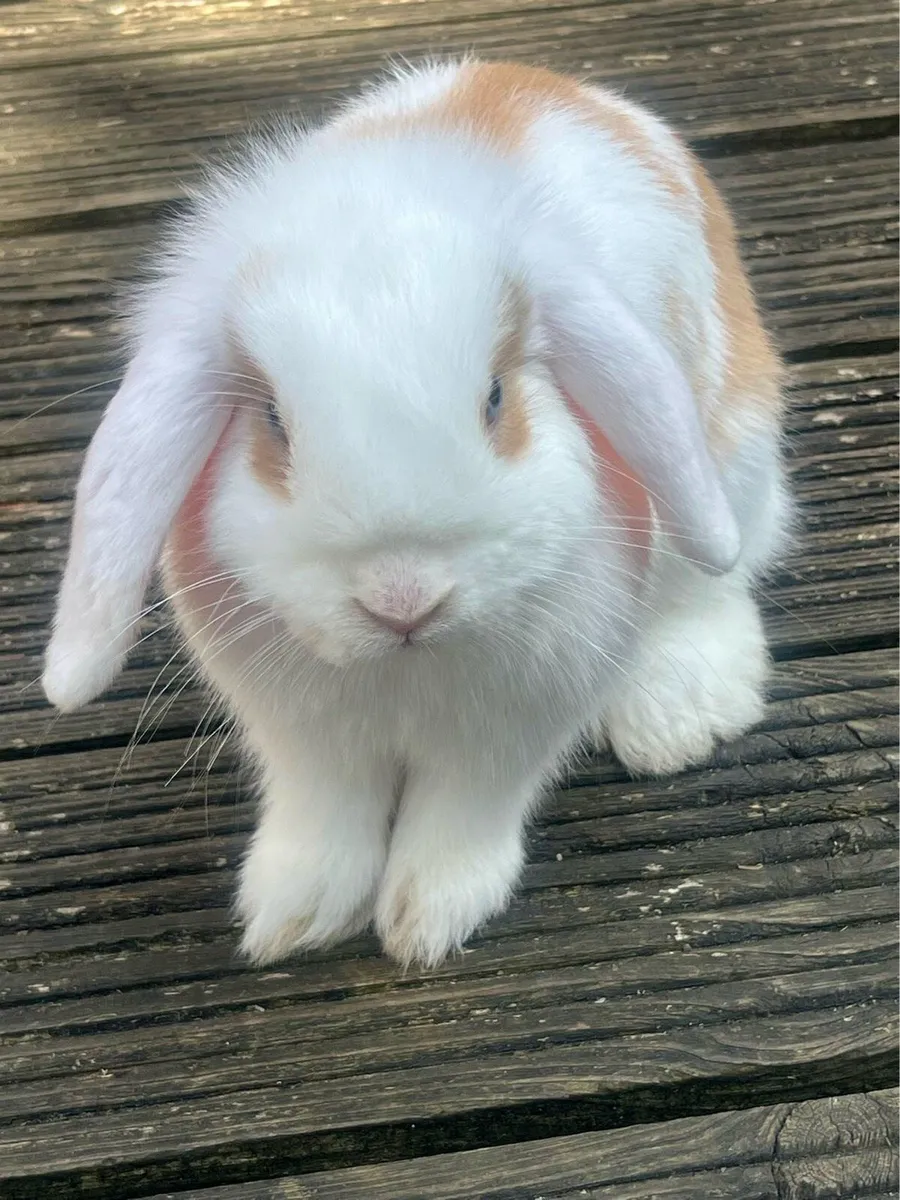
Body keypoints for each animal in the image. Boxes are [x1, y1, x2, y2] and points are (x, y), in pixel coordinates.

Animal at [42, 59, 789, 968]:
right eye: (273, 422)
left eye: (496, 399)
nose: (402, 599)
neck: (409, 668)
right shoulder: (304, 738)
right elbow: (324, 814)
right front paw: (294, 916)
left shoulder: (516, 721)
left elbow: (464, 815)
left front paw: (426, 919)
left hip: (727, 463)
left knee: (710, 583)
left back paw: (680, 717)